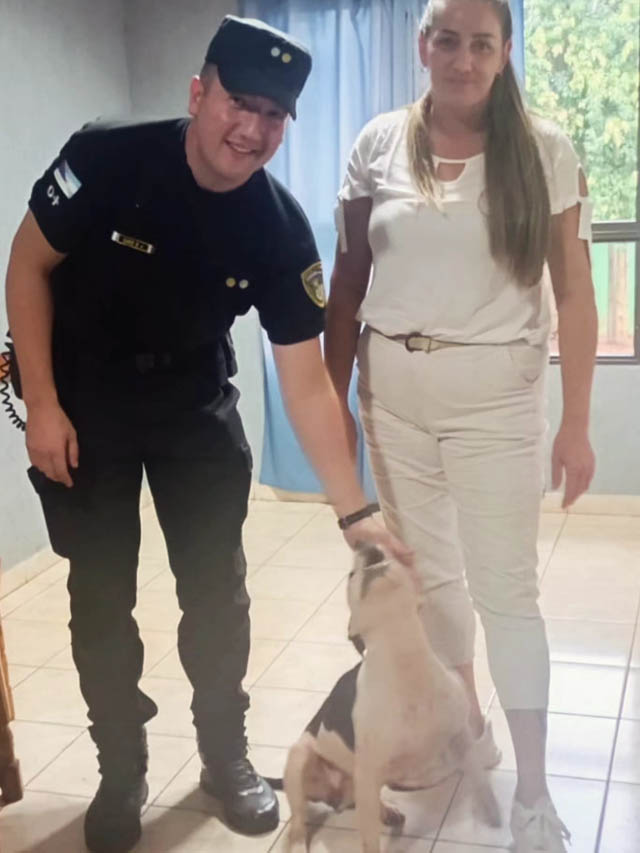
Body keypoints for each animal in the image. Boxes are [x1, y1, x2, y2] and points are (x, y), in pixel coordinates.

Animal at [278, 543, 501, 852]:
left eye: (392, 553)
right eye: (351, 575)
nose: (366, 544)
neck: (404, 659)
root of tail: (336, 796)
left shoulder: (461, 737)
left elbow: (478, 775)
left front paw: (491, 810)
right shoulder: (368, 771)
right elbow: (370, 841)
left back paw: (388, 812)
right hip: (300, 759)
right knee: (299, 818)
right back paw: (300, 841)